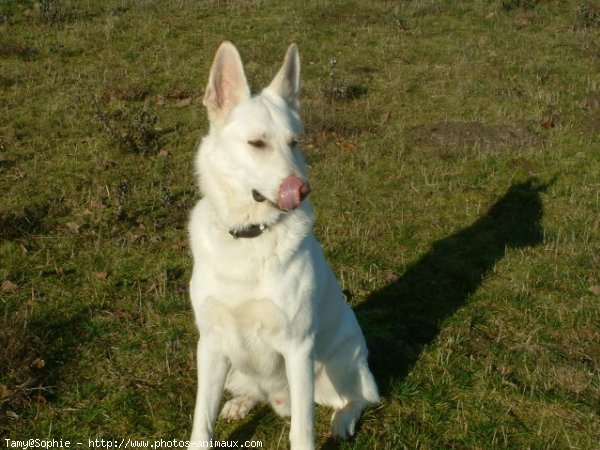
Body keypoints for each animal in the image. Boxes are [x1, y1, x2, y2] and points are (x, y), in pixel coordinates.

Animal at [188, 42, 380, 450]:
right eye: (257, 143)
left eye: (295, 143)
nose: (303, 189)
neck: (251, 234)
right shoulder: (210, 344)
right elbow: (201, 419)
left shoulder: (298, 347)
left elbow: (302, 430)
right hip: (233, 366)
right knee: (252, 391)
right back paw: (242, 402)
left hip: (337, 365)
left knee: (361, 397)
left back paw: (343, 420)